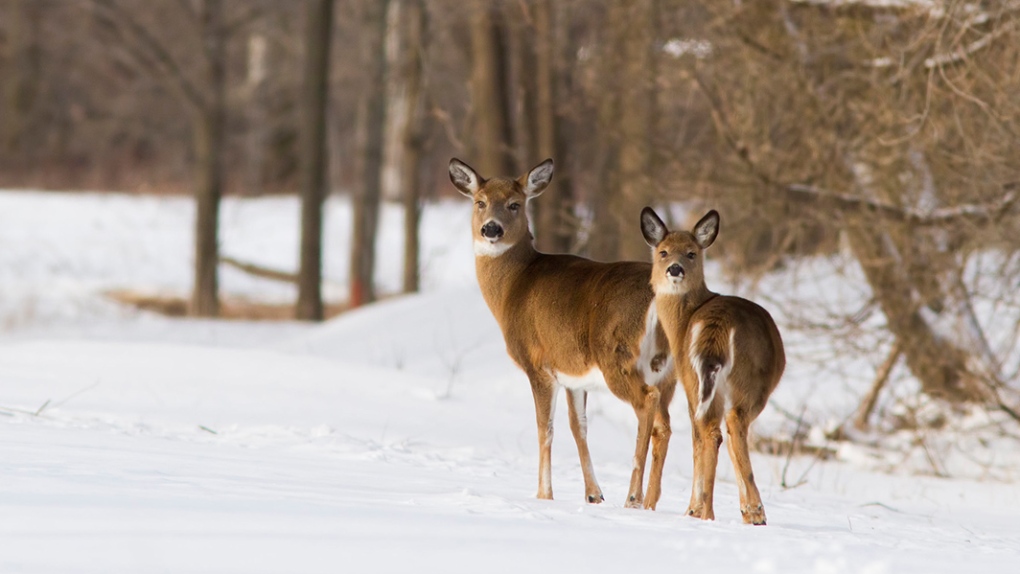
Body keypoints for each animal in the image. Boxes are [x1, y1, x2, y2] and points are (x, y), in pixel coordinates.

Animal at [448, 157, 673, 507]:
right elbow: (578, 426)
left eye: (515, 204)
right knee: (668, 423)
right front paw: (593, 494)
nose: (491, 229)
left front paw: (544, 494)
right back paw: (653, 501)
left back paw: (634, 497)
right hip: (669, 369)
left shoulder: (538, 363)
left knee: (647, 404)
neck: (514, 287)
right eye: (480, 202)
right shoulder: (572, 373)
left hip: (618, 357)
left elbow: (545, 427)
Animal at [640, 207, 783, 526]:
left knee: (716, 431)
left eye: (691, 253)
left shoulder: (686, 379)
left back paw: (722, 511)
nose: (675, 269)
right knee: (727, 429)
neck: (682, 323)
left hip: (709, 380)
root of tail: (717, 325)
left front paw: (695, 509)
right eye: (663, 251)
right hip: (740, 383)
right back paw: (744, 511)